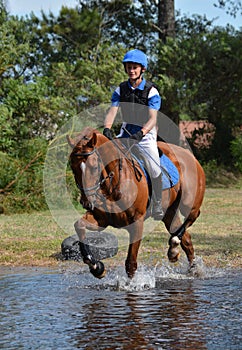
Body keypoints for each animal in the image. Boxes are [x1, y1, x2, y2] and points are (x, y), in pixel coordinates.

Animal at [66, 126, 206, 278]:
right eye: (73, 167)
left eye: (94, 167)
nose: (86, 202)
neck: (114, 184)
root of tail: (189, 155)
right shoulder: (101, 220)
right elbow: (79, 225)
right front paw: (96, 266)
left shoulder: (136, 222)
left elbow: (130, 263)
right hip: (169, 213)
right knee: (185, 238)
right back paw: (183, 260)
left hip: (187, 204)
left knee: (193, 216)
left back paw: (175, 245)